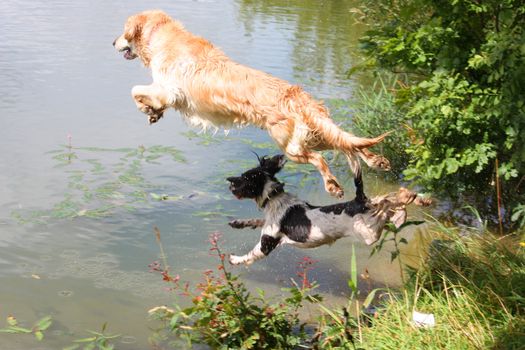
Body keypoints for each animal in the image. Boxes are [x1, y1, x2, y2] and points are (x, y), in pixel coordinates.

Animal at [226, 154, 430, 264]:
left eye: (244, 178)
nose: (229, 182)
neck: (274, 198)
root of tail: (359, 201)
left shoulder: (266, 244)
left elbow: (250, 255)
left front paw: (234, 259)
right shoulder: (268, 222)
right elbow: (258, 221)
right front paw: (238, 223)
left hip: (369, 232)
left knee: (386, 201)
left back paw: (409, 197)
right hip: (374, 225)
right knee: (387, 205)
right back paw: (410, 205)